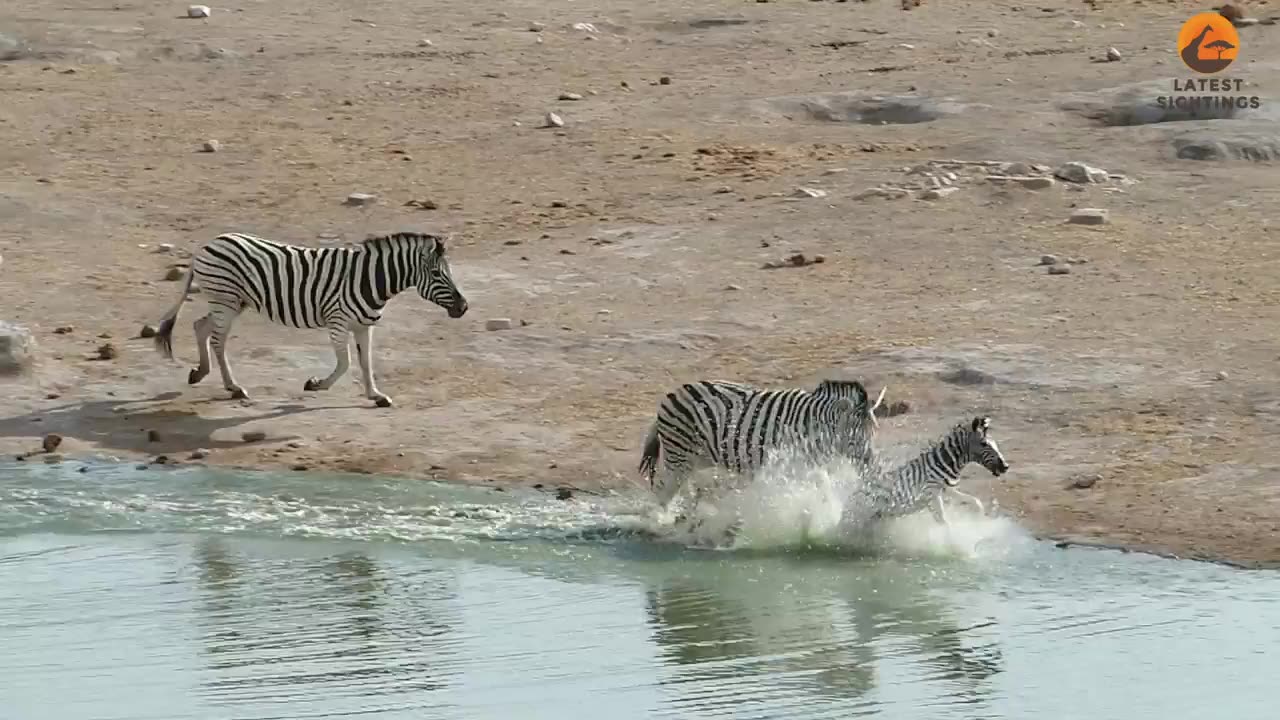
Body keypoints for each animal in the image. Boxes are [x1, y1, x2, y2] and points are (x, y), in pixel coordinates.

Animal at [151, 233, 471, 407]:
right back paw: (234, 387)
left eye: (448, 272)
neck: (371, 280)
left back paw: (200, 372)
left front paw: (376, 395)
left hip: (232, 302)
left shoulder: (364, 326)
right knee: (218, 340)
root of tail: (208, 244)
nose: (464, 307)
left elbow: (366, 362)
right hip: (226, 300)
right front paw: (316, 384)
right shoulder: (338, 322)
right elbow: (346, 363)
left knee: (200, 326)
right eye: (436, 274)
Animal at [637, 379, 885, 507]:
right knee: (663, 492)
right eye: (853, 435)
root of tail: (674, 392)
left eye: (874, 434)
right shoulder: (792, 464)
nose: (871, 466)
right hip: (678, 456)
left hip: (695, 459)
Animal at [855, 412, 1013, 530]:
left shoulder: (947, 488)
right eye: (984, 444)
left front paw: (980, 521)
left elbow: (975, 502)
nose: (1005, 466)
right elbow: (944, 521)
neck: (943, 463)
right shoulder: (931, 493)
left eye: (994, 443)